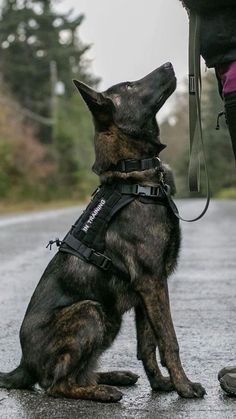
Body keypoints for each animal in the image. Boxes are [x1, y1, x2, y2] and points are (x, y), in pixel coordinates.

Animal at [0, 63, 206, 404]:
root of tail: (23, 364)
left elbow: (147, 345)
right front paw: (184, 386)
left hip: (111, 319)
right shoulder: (152, 282)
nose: (168, 65)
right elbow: (169, 340)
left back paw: (112, 376)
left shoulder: (145, 291)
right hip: (91, 311)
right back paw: (102, 391)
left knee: (77, 372)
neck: (132, 176)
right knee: (56, 384)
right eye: (131, 85)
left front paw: (161, 384)